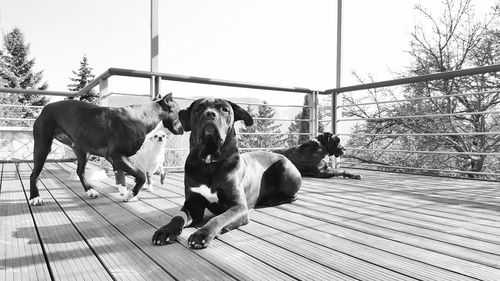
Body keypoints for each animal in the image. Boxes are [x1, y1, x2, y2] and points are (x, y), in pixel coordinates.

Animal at [28, 93, 184, 205]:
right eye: (180, 112)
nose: (183, 130)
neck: (145, 116)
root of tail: (45, 108)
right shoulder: (117, 156)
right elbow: (141, 175)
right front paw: (130, 194)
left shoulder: (116, 159)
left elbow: (121, 178)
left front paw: (124, 192)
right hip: (42, 147)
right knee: (34, 174)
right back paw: (35, 197)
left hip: (82, 151)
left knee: (80, 171)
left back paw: (90, 190)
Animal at [152, 97, 300, 248]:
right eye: (198, 109)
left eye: (224, 109)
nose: (210, 114)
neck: (210, 162)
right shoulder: (193, 203)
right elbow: (178, 217)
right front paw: (166, 230)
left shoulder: (239, 207)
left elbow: (219, 218)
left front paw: (202, 233)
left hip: (284, 167)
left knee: (293, 196)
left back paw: (272, 199)